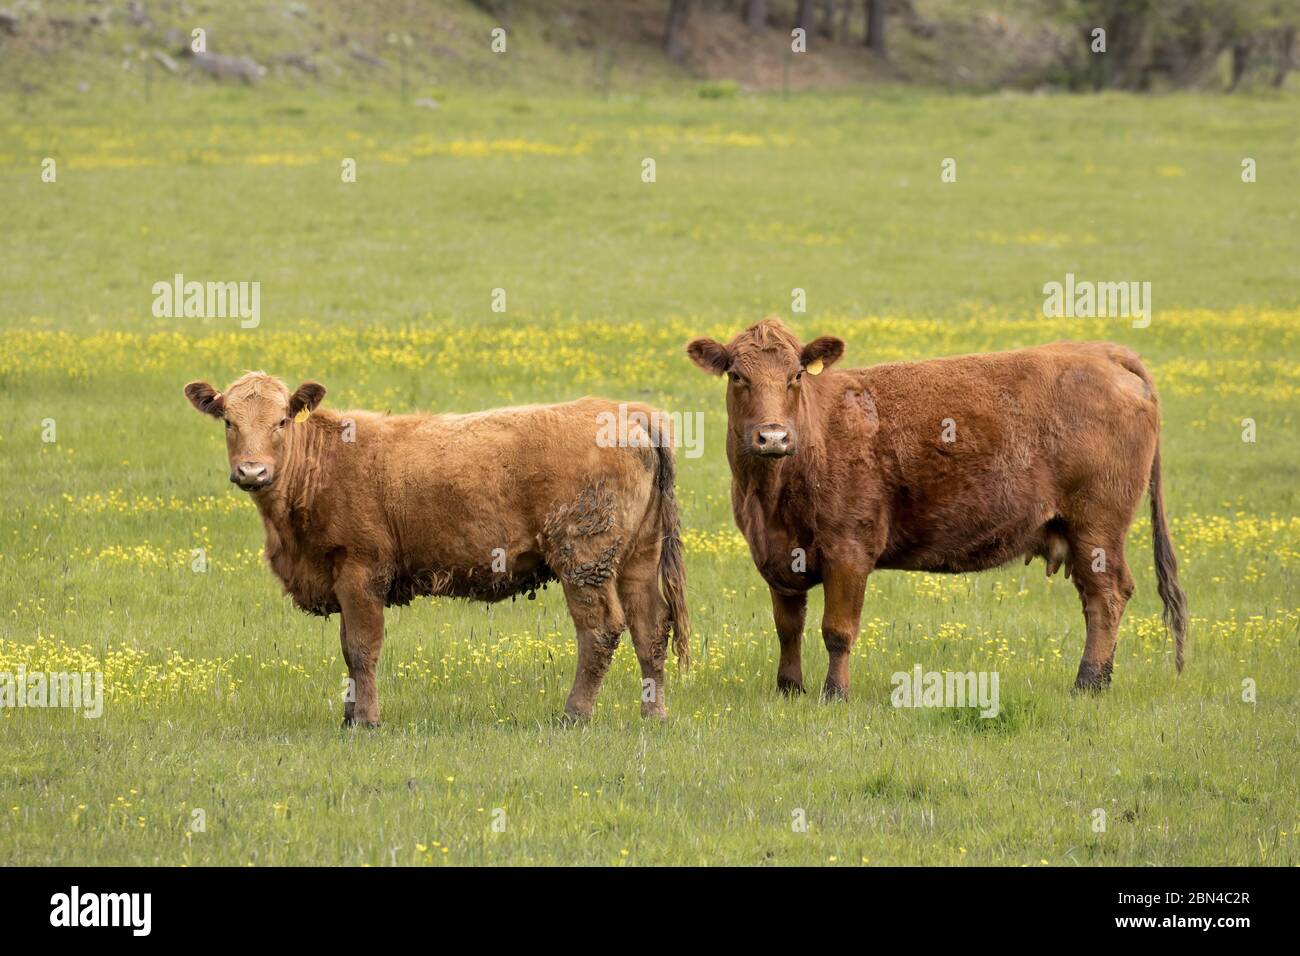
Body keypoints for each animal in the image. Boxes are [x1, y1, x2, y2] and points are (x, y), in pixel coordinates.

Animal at [185, 374, 691, 723]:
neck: (324, 462)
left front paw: (365, 719)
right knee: (650, 629)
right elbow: (348, 649)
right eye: (229, 421)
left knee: (601, 630)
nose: (253, 471)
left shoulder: (361, 573)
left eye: (282, 420)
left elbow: (362, 648)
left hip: (583, 561)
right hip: (637, 558)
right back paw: (654, 714)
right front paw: (349, 715)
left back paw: (575, 713)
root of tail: (629, 412)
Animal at [691, 317, 1190, 697]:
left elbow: (837, 630)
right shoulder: (777, 557)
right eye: (737, 375)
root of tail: (1101, 352)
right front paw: (790, 689)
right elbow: (788, 627)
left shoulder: (848, 552)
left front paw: (835, 693)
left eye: (795, 375)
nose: (773, 436)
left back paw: (1088, 683)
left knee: (1106, 596)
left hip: (1097, 527)